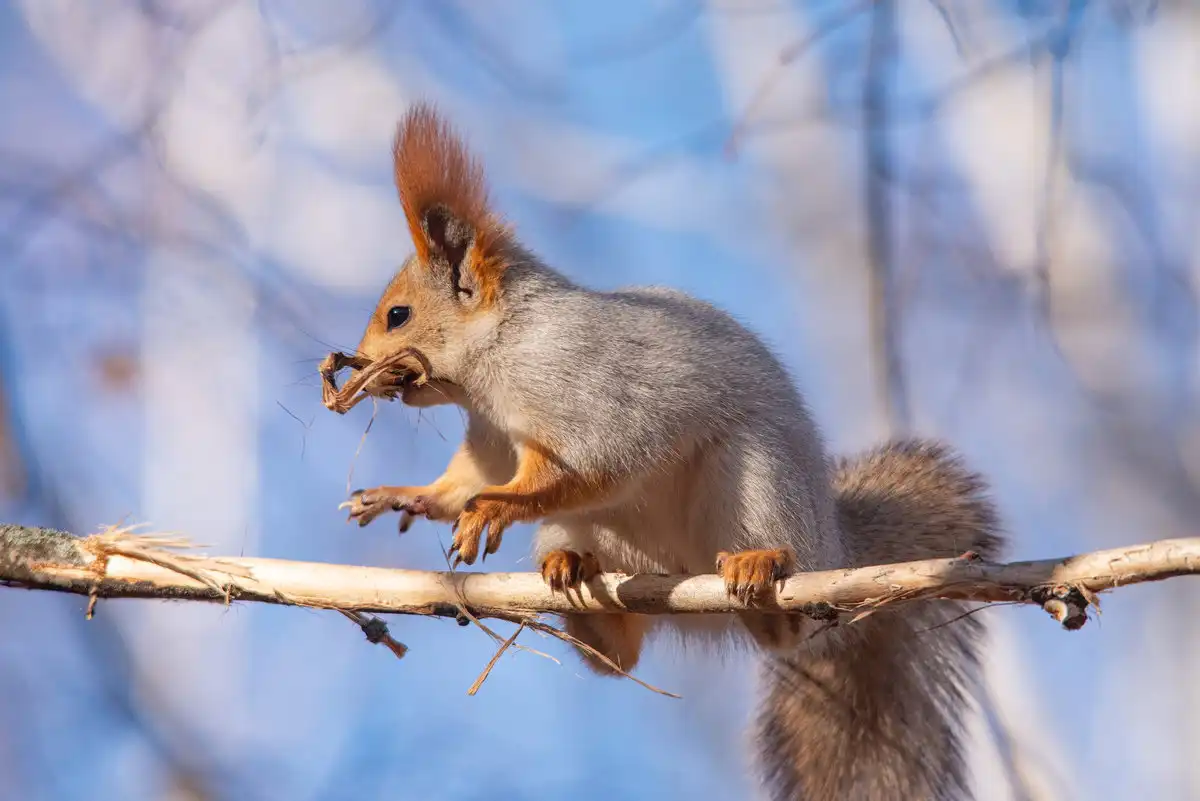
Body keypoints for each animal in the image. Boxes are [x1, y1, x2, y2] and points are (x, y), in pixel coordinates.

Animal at [339, 103, 1004, 801]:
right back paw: (574, 576)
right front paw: (407, 496)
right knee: (619, 655)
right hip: (595, 537)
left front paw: (494, 508)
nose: (352, 369)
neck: (502, 349)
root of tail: (838, 551)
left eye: (398, 315)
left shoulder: (585, 387)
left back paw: (761, 570)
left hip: (757, 483)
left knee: (784, 629)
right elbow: (469, 478)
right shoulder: (490, 434)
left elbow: (587, 463)